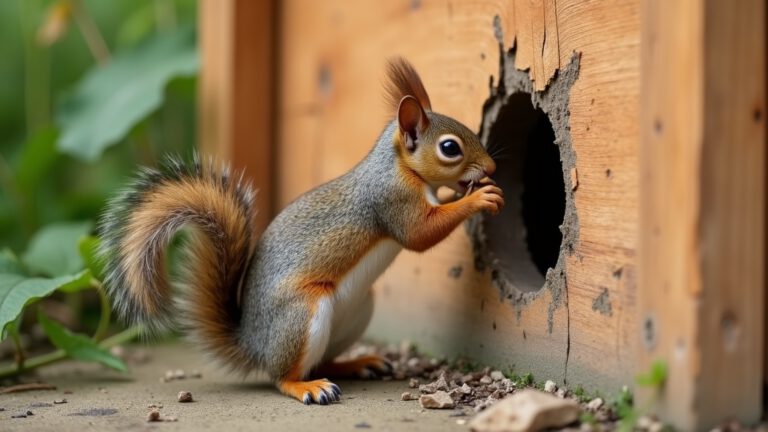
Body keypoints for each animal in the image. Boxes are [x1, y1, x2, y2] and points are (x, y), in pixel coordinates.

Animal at [98, 58, 504, 405]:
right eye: (449, 148)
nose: (491, 167)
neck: (399, 167)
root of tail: (254, 345)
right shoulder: (392, 201)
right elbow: (420, 234)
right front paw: (477, 198)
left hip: (358, 310)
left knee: (320, 362)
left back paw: (357, 364)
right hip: (303, 312)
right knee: (283, 376)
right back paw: (308, 387)